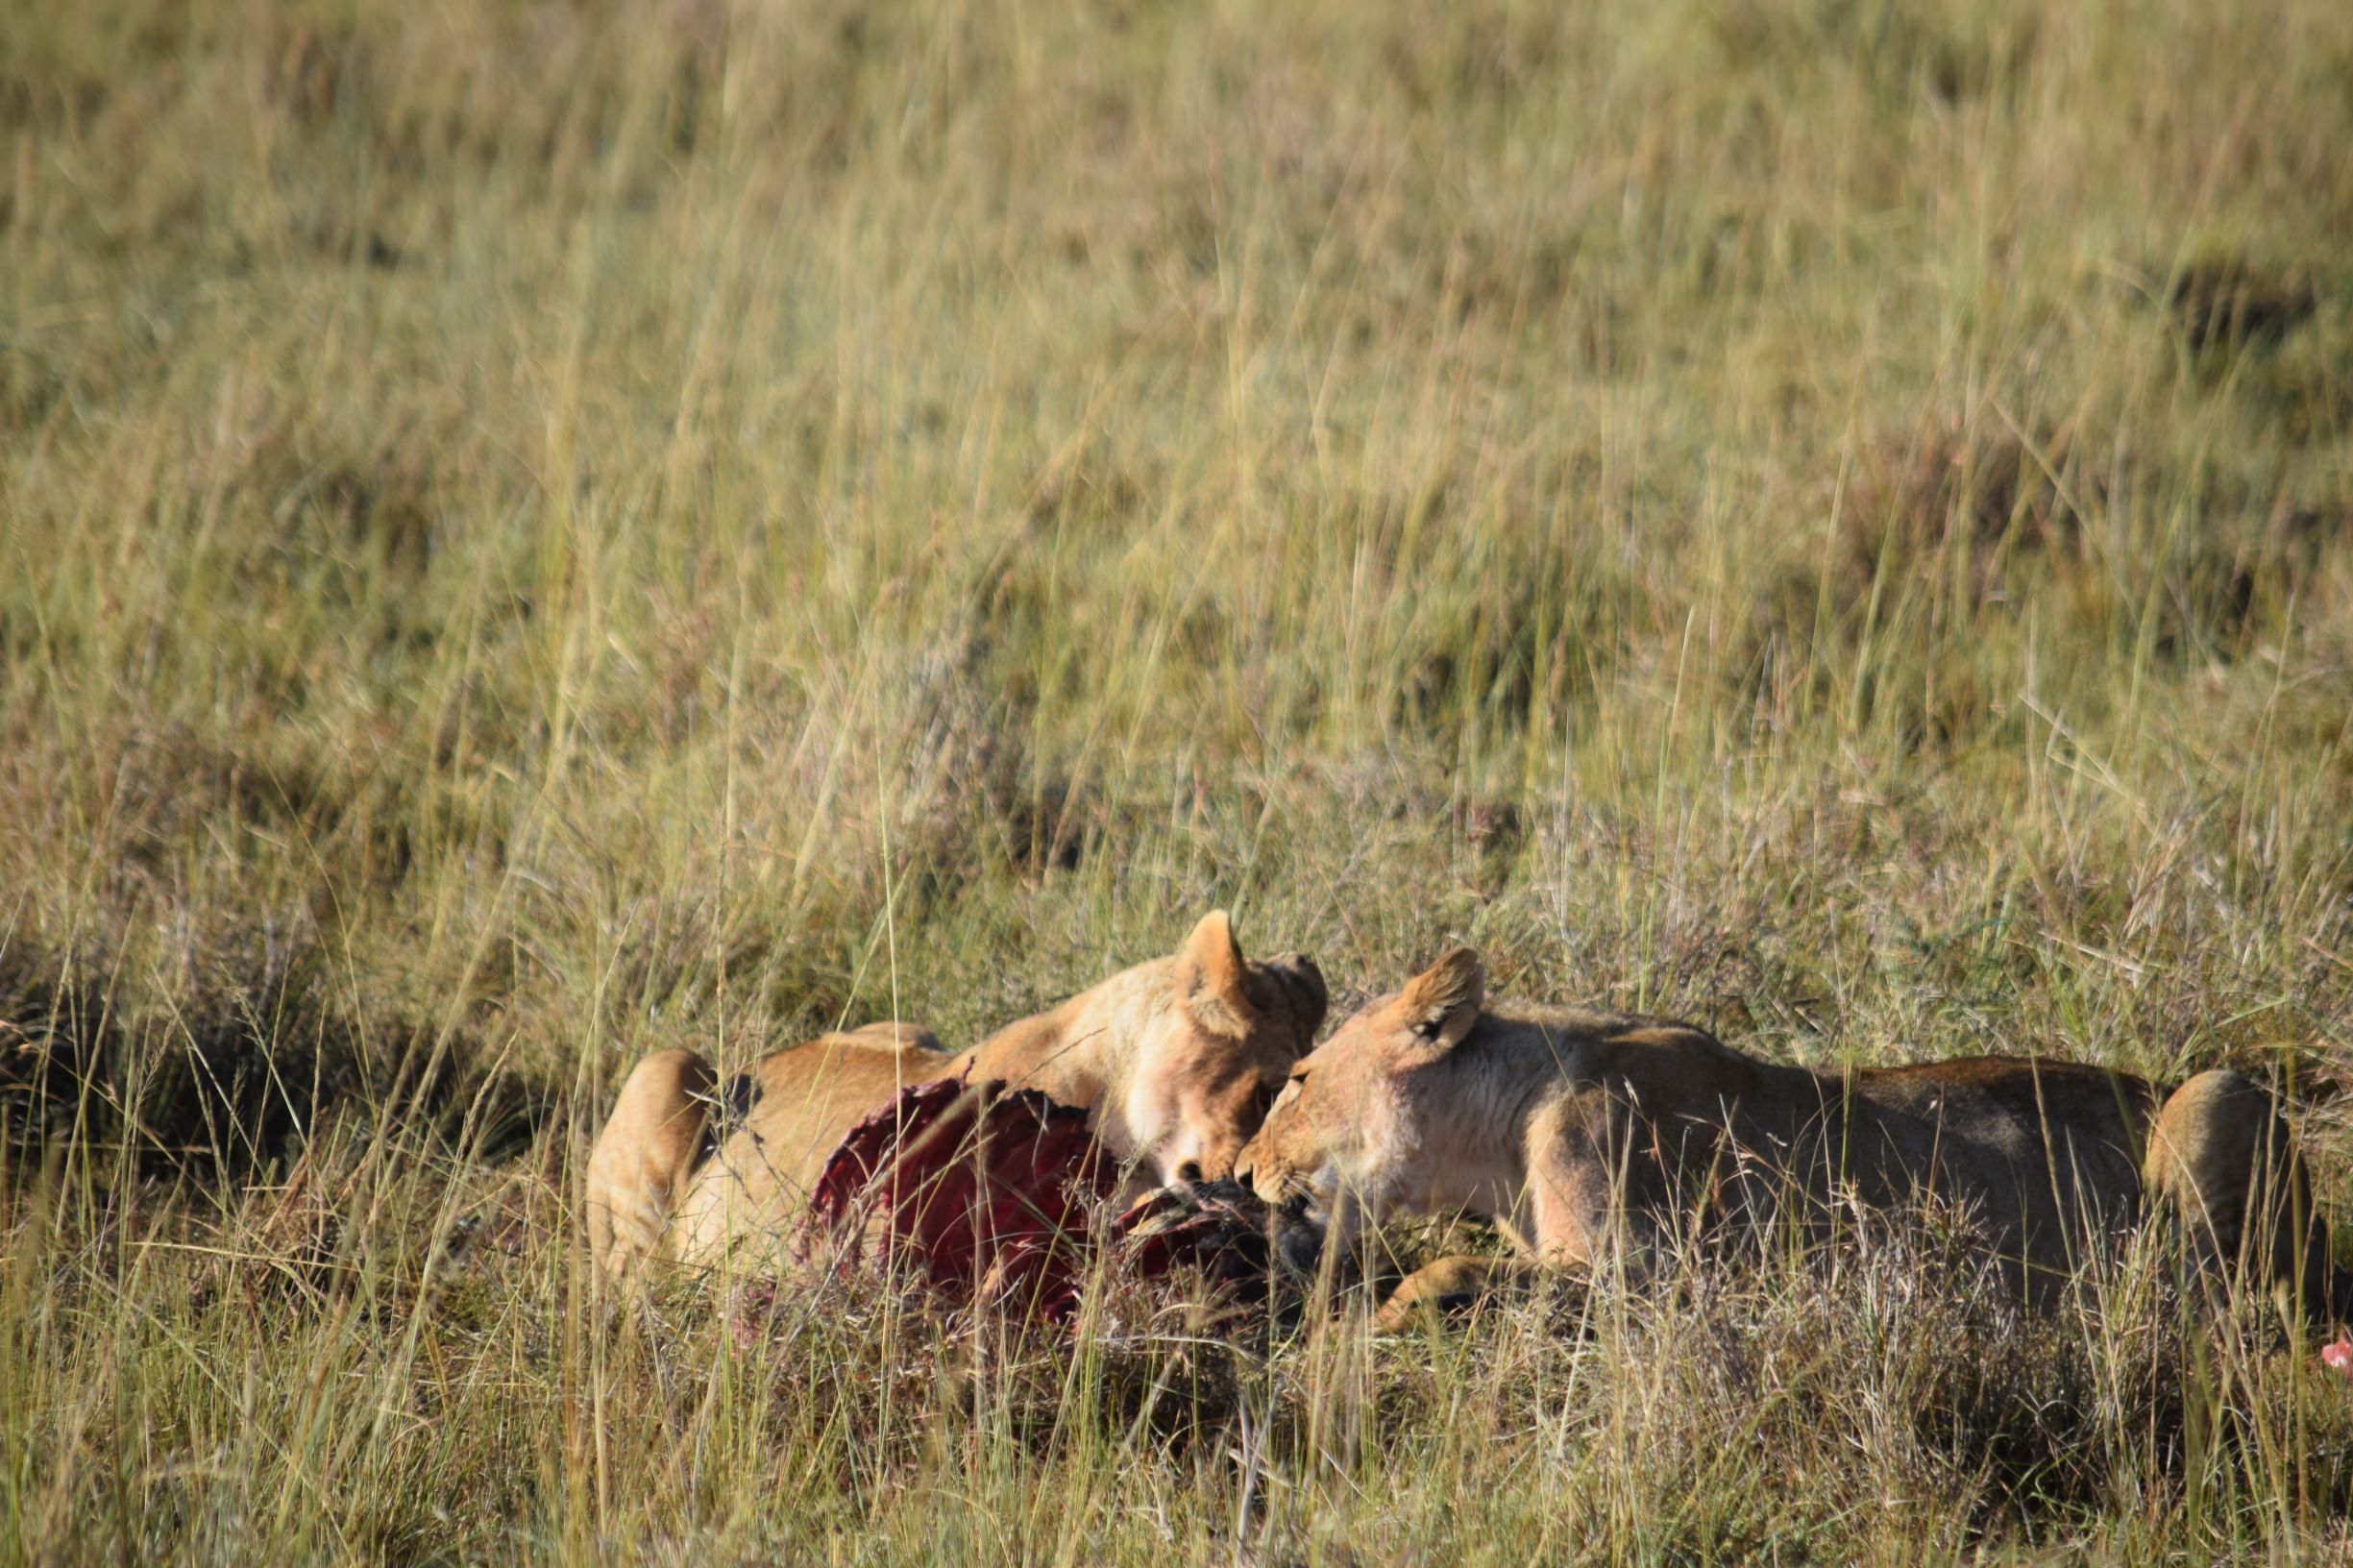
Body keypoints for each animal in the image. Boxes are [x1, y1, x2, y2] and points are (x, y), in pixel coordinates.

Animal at [1242, 942, 2343, 1328]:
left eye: (1294, 1080)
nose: (1239, 1168)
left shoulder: (1651, 1271)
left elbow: (1449, 1269)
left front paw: (1373, 1324)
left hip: (2216, 1092)